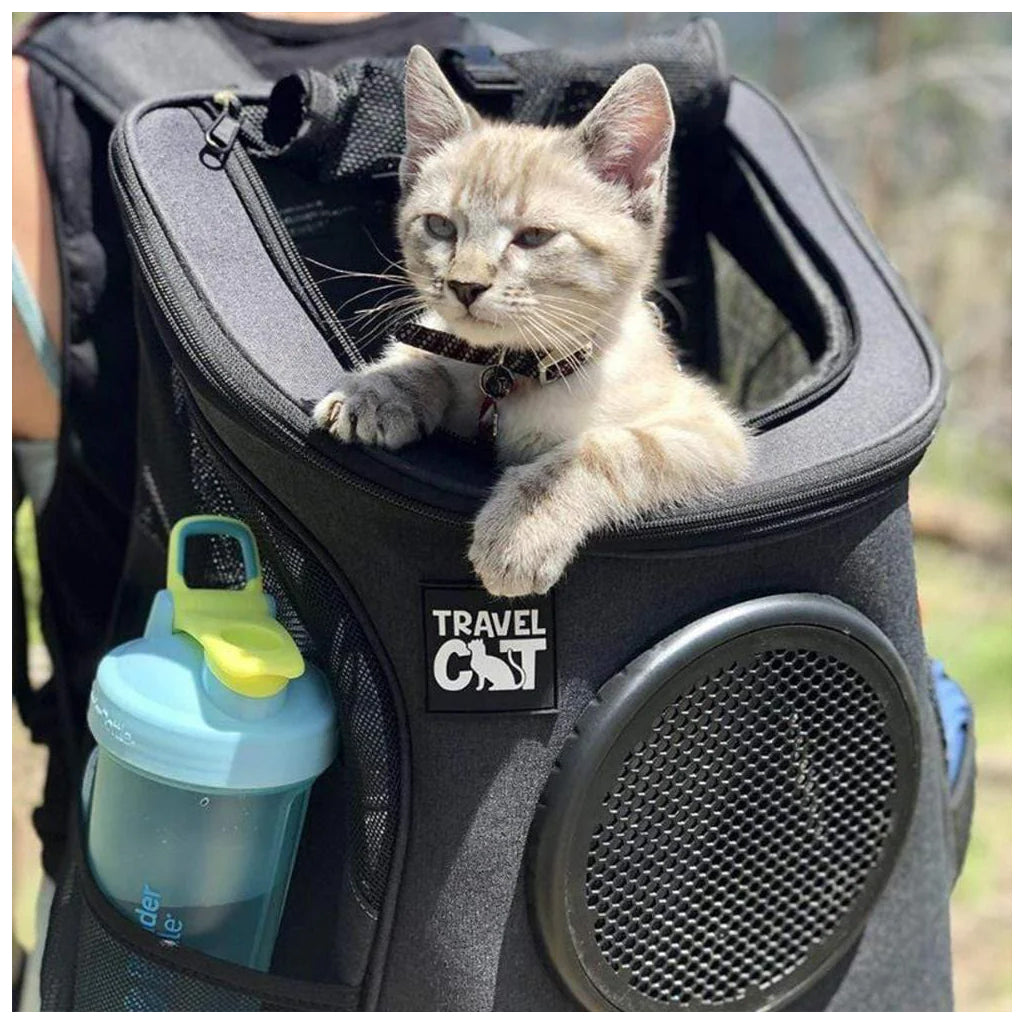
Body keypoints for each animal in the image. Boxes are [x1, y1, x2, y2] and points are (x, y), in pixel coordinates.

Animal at [309, 44, 745, 598]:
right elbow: (425, 353)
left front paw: (523, 527)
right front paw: (379, 389)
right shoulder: (441, 334)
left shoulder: (710, 432)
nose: (465, 285)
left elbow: (605, 449)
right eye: (439, 226)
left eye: (534, 237)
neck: (509, 371)